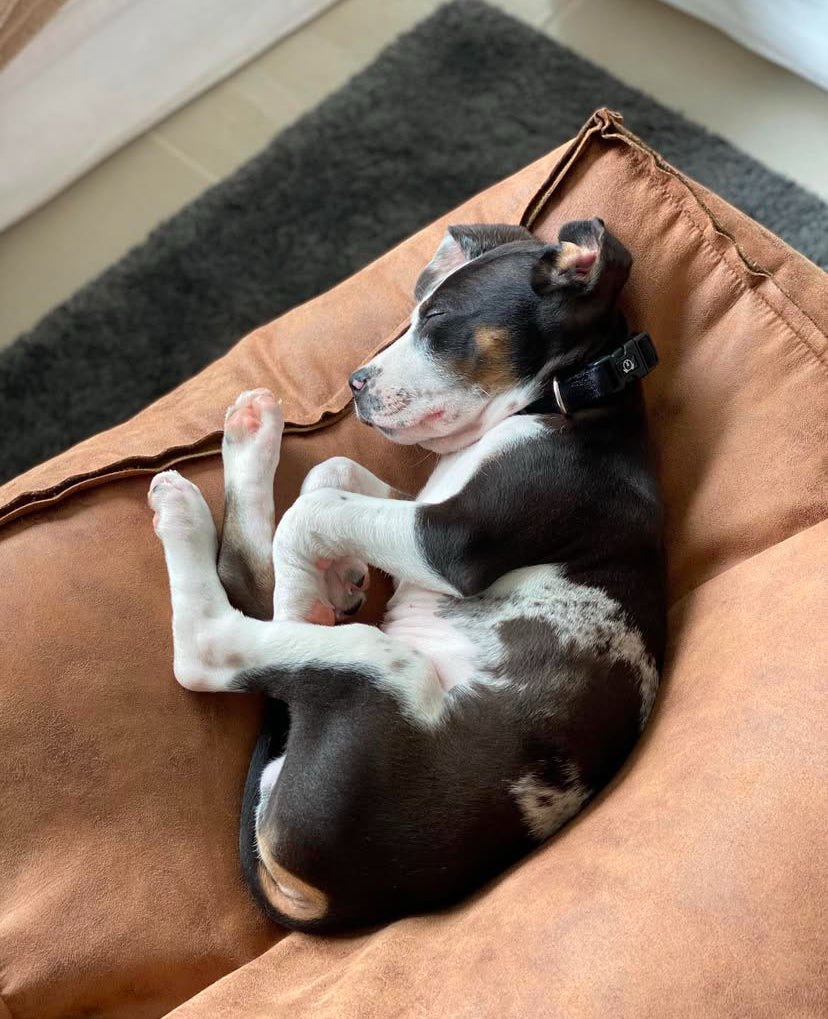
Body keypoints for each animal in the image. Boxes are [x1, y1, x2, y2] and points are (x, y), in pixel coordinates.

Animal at [146, 215, 664, 933]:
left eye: (439, 319)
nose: (356, 381)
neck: (570, 400)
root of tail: (332, 903)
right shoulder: (419, 503)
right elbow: (331, 477)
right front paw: (340, 574)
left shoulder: (453, 539)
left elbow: (312, 510)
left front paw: (313, 583)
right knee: (253, 583)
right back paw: (251, 439)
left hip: (378, 674)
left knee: (213, 643)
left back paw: (195, 518)